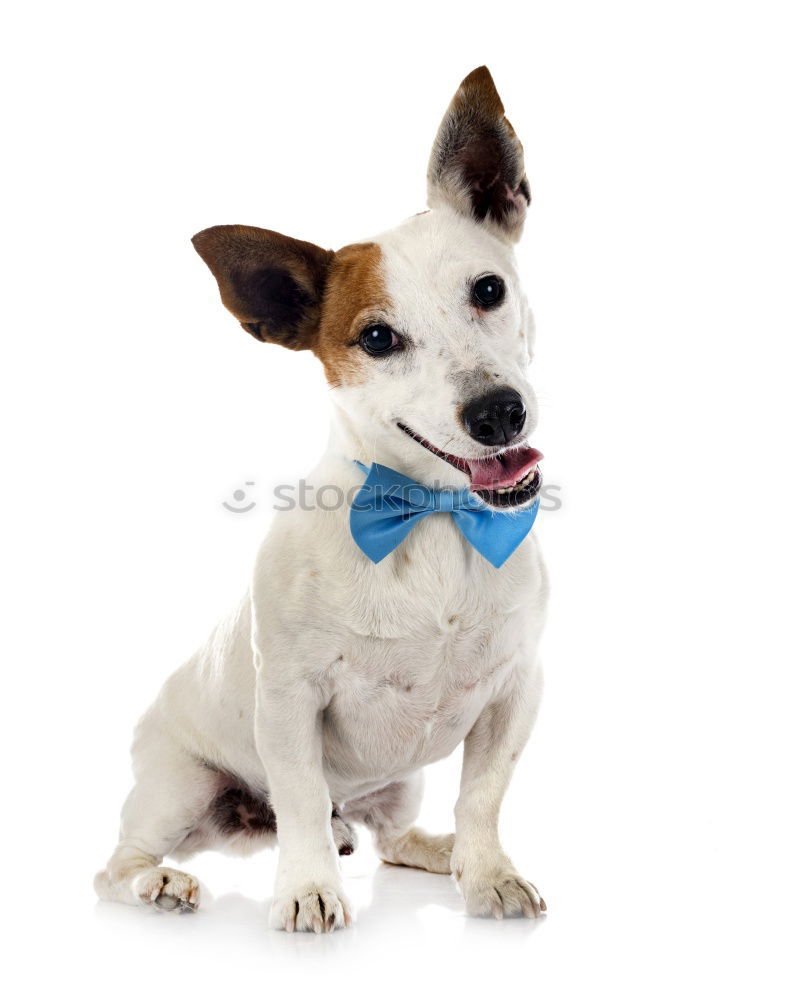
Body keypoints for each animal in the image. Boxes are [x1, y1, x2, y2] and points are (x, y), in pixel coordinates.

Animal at [95, 68, 548, 928]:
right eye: (375, 339)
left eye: (488, 289)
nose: (498, 413)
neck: (428, 519)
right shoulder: (290, 702)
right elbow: (301, 799)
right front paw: (306, 890)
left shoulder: (515, 691)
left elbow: (483, 797)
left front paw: (486, 873)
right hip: (179, 786)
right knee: (118, 864)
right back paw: (160, 882)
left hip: (397, 784)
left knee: (390, 837)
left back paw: (433, 851)